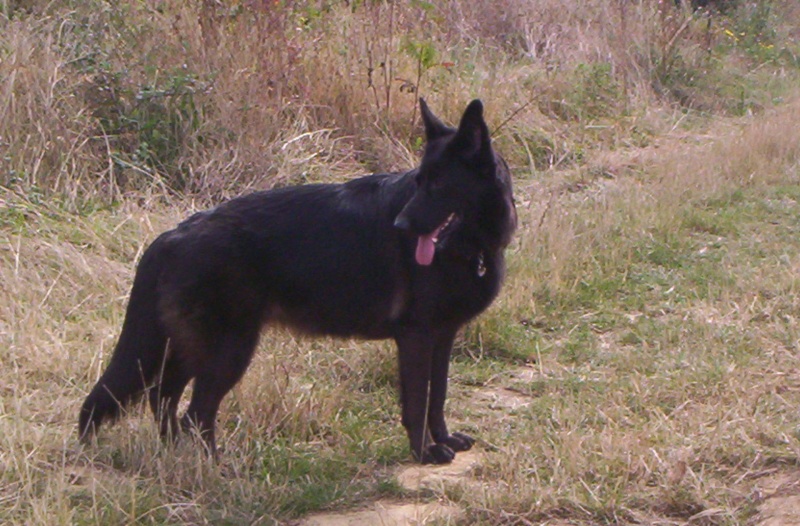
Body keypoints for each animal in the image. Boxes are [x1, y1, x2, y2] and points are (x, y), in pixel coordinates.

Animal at [79, 99, 520, 466]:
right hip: (228, 352)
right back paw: (216, 465)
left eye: (440, 184)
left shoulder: (441, 338)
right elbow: (417, 402)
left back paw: (175, 453)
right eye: (420, 183)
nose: (401, 226)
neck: (471, 246)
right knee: (195, 412)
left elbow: (438, 396)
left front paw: (443, 438)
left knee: (163, 397)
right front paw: (424, 452)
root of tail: (171, 236)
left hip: (189, 349)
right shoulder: (416, 338)